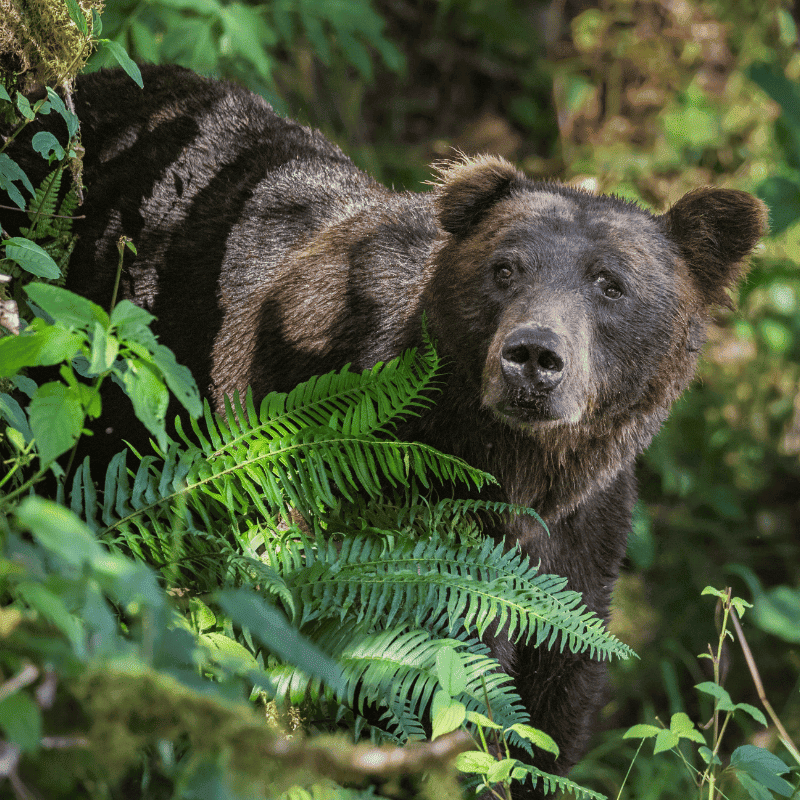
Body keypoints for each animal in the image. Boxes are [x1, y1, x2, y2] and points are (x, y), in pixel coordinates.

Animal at [2, 65, 768, 797]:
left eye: (611, 283)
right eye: (505, 267)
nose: (533, 357)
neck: (513, 466)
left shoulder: (580, 545)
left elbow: (554, 705)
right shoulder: (368, 496)